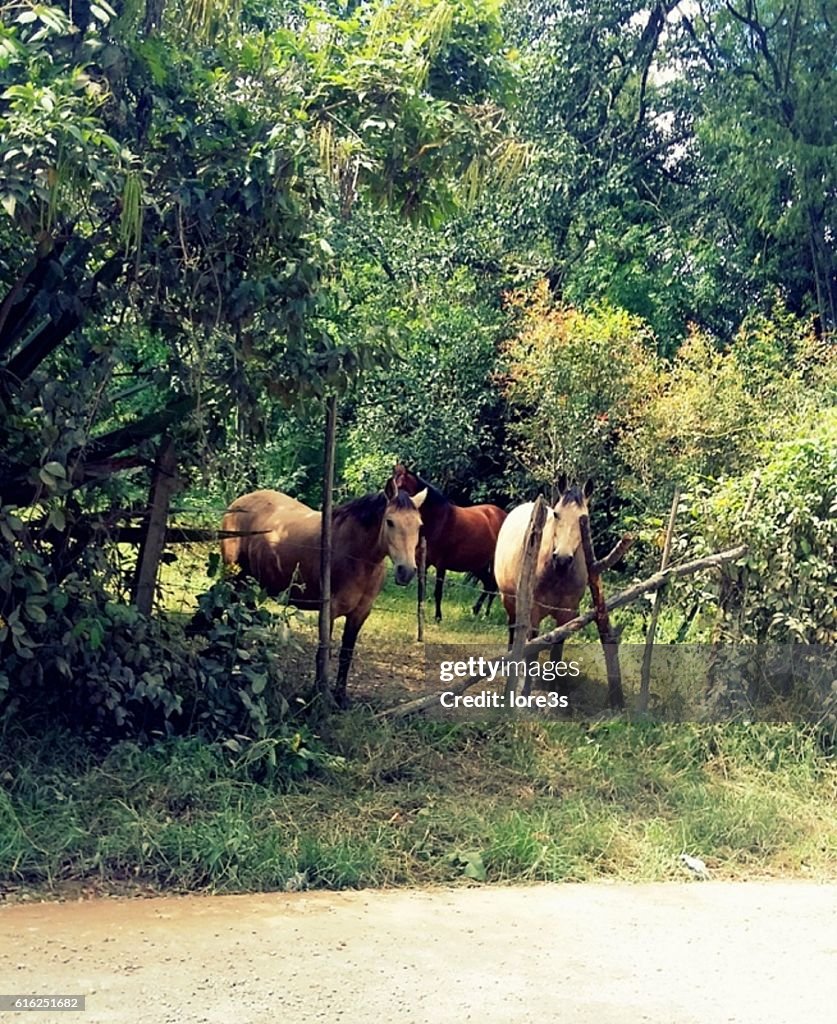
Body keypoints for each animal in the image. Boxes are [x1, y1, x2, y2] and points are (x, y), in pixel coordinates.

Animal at [220, 477, 424, 704]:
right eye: (390, 521)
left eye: (419, 525)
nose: (406, 571)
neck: (356, 555)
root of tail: (236, 505)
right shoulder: (329, 611)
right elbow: (322, 653)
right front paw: (320, 695)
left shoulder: (360, 613)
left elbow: (346, 654)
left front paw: (341, 697)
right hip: (233, 577)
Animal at [393, 466, 506, 622]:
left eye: (400, 487)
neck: (437, 520)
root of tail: (504, 515)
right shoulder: (423, 563)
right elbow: (422, 590)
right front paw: (421, 615)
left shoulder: (441, 565)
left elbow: (437, 592)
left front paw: (438, 617)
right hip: (478, 565)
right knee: (489, 584)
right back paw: (477, 610)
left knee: (492, 586)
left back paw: (485, 614)